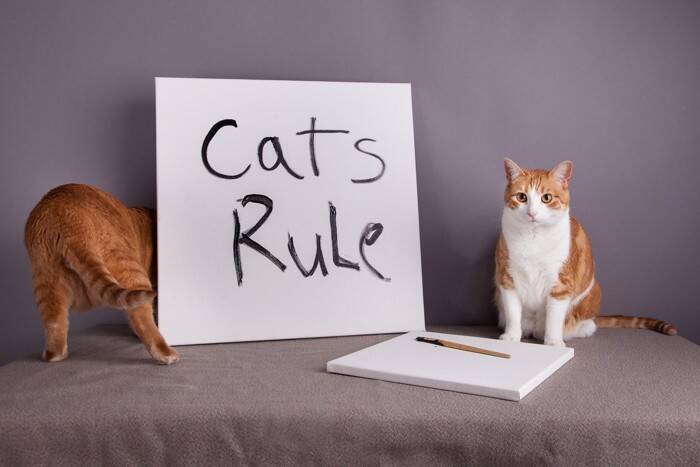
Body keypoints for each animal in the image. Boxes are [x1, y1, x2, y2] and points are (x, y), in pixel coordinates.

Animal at [25, 183, 179, 364]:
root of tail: (67, 220)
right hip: (128, 267)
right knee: (142, 318)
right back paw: (167, 354)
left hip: (47, 283)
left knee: (54, 323)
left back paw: (54, 355)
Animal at [495, 159, 676, 347]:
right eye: (521, 197)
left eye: (547, 198)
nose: (532, 213)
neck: (533, 238)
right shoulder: (507, 279)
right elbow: (513, 313)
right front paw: (511, 337)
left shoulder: (561, 284)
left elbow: (554, 318)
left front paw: (553, 343)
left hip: (591, 296)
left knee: (585, 325)